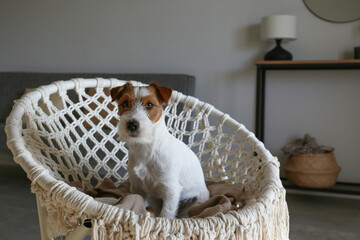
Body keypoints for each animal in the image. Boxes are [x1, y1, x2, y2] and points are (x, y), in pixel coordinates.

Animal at [111, 81, 210, 218]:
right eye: (124, 103)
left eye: (149, 105)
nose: (132, 125)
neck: (145, 147)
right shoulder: (137, 188)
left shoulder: (171, 190)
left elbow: (165, 215)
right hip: (152, 197)